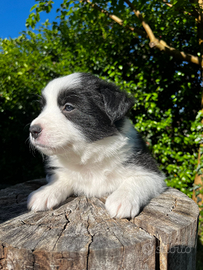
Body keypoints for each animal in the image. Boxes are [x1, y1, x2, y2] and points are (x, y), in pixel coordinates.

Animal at [27, 73, 166, 218]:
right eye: (43, 108)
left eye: (69, 107)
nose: (33, 130)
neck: (88, 158)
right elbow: (60, 178)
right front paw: (44, 192)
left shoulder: (152, 171)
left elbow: (138, 180)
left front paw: (121, 199)